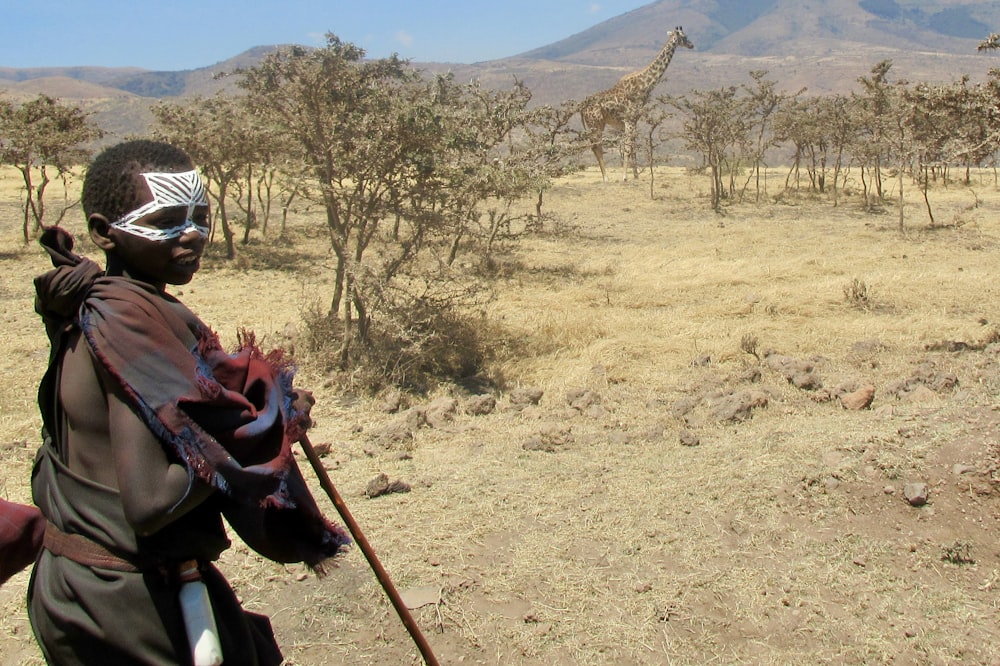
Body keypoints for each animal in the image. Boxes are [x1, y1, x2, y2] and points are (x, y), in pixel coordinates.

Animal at [584, 26, 692, 182]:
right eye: (684, 37)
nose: (692, 45)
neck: (643, 86)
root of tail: (582, 107)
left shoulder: (633, 121)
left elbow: (633, 147)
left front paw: (635, 175)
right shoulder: (629, 120)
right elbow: (628, 147)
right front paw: (624, 176)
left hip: (598, 124)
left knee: (595, 146)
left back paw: (606, 176)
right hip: (595, 124)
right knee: (596, 146)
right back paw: (606, 177)